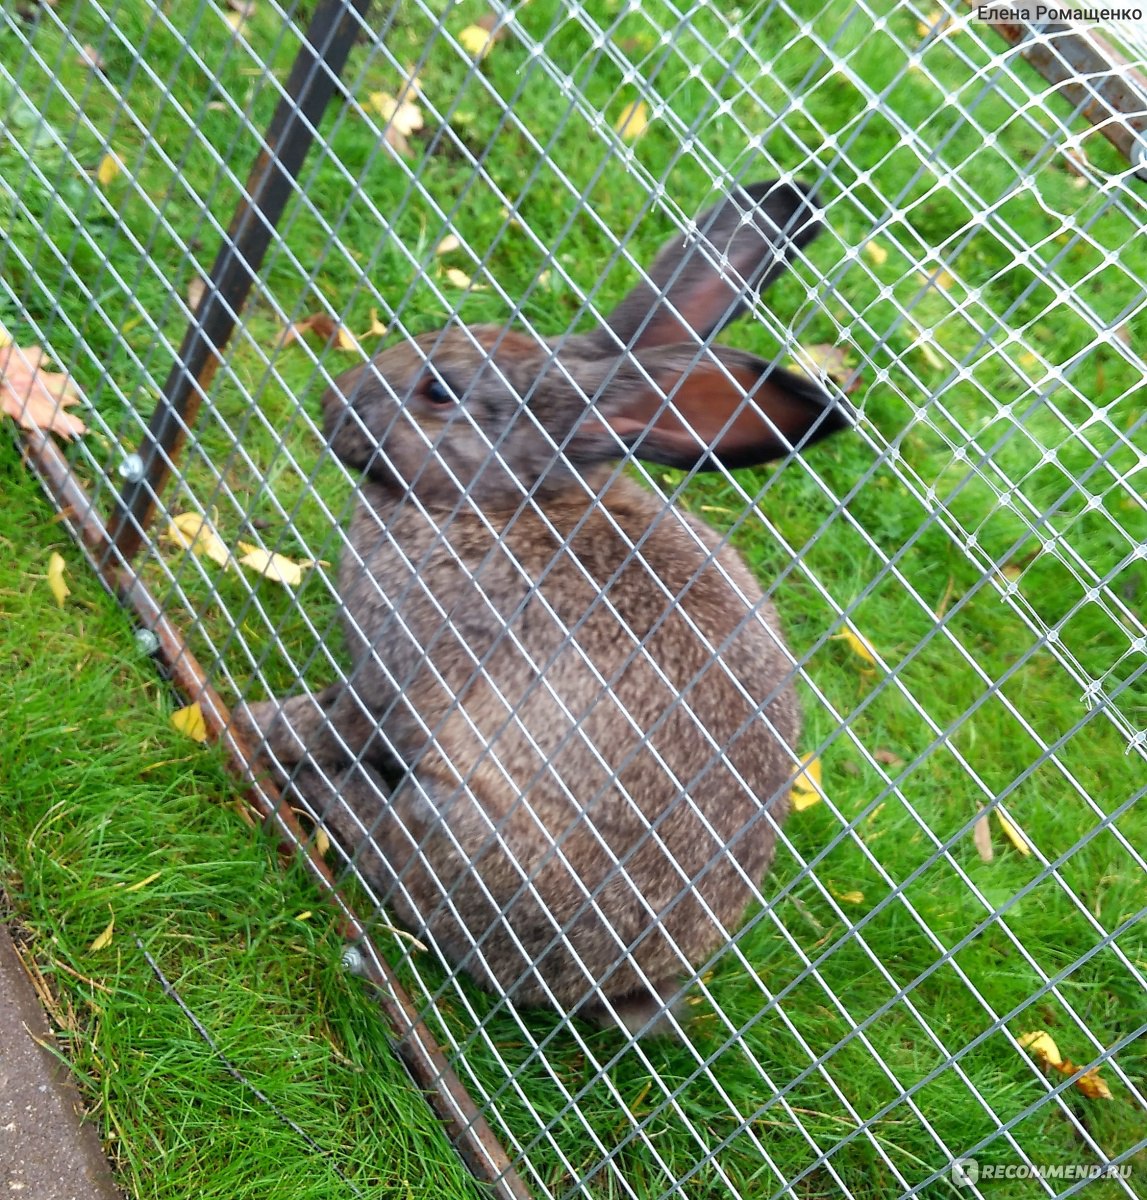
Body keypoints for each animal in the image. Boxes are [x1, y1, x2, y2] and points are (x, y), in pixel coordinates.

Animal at [235, 177, 849, 1032]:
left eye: (438, 390)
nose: (332, 401)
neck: (494, 506)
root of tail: (625, 990)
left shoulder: (400, 685)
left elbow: (329, 721)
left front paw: (248, 724)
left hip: (465, 826)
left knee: (402, 873)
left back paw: (327, 797)